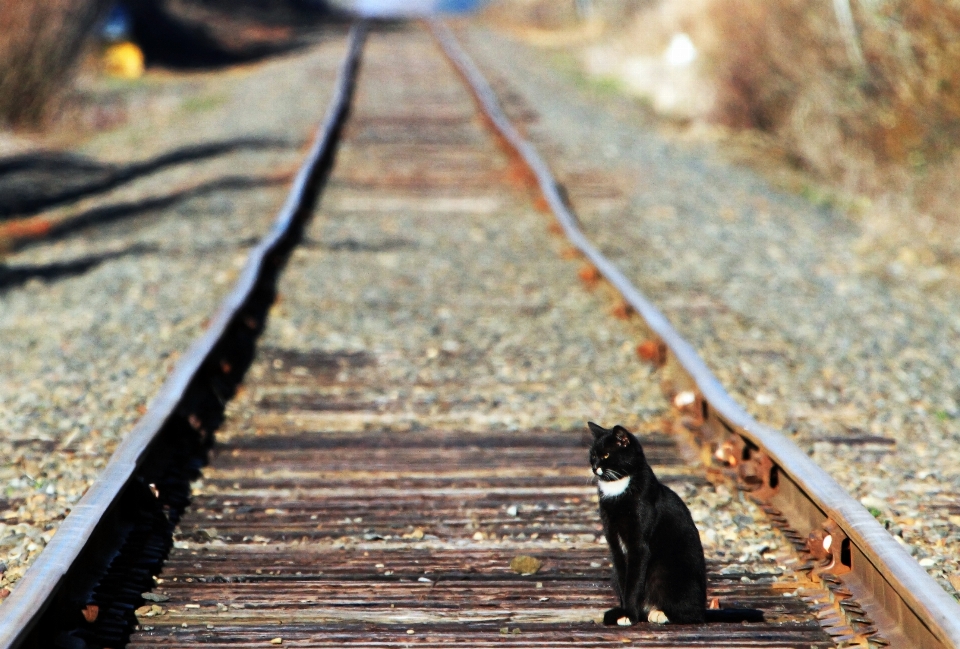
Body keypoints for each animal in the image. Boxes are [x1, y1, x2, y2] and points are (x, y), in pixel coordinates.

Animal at [588, 422, 760, 624]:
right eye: (592, 455)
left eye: (606, 455)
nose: (594, 467)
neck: (617, 489)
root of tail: (703, 610)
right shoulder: (615, 545)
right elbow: (625, 582)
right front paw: (623, 612)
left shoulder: (639, 545)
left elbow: (633, 583)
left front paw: (629, 614)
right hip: (615, 573)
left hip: (665, 571)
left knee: (691, 615)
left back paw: (660, 614)